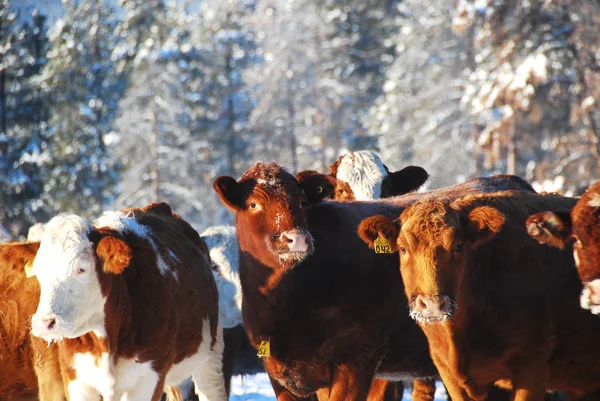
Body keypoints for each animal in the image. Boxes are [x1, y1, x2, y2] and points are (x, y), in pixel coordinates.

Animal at [28, 202, 226, 400]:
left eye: (81, 269)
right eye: (38, 271)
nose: (45, 323)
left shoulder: (150, 376)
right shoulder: (76, 378)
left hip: (211, 358)